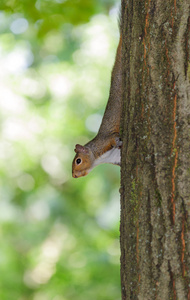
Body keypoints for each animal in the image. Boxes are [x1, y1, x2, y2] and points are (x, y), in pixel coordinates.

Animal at [72, 34, 122, 178]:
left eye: (78, 161)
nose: (74, 176)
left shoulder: (105, 142)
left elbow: (113, 138)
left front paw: (119, 142)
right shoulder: (116, 156)